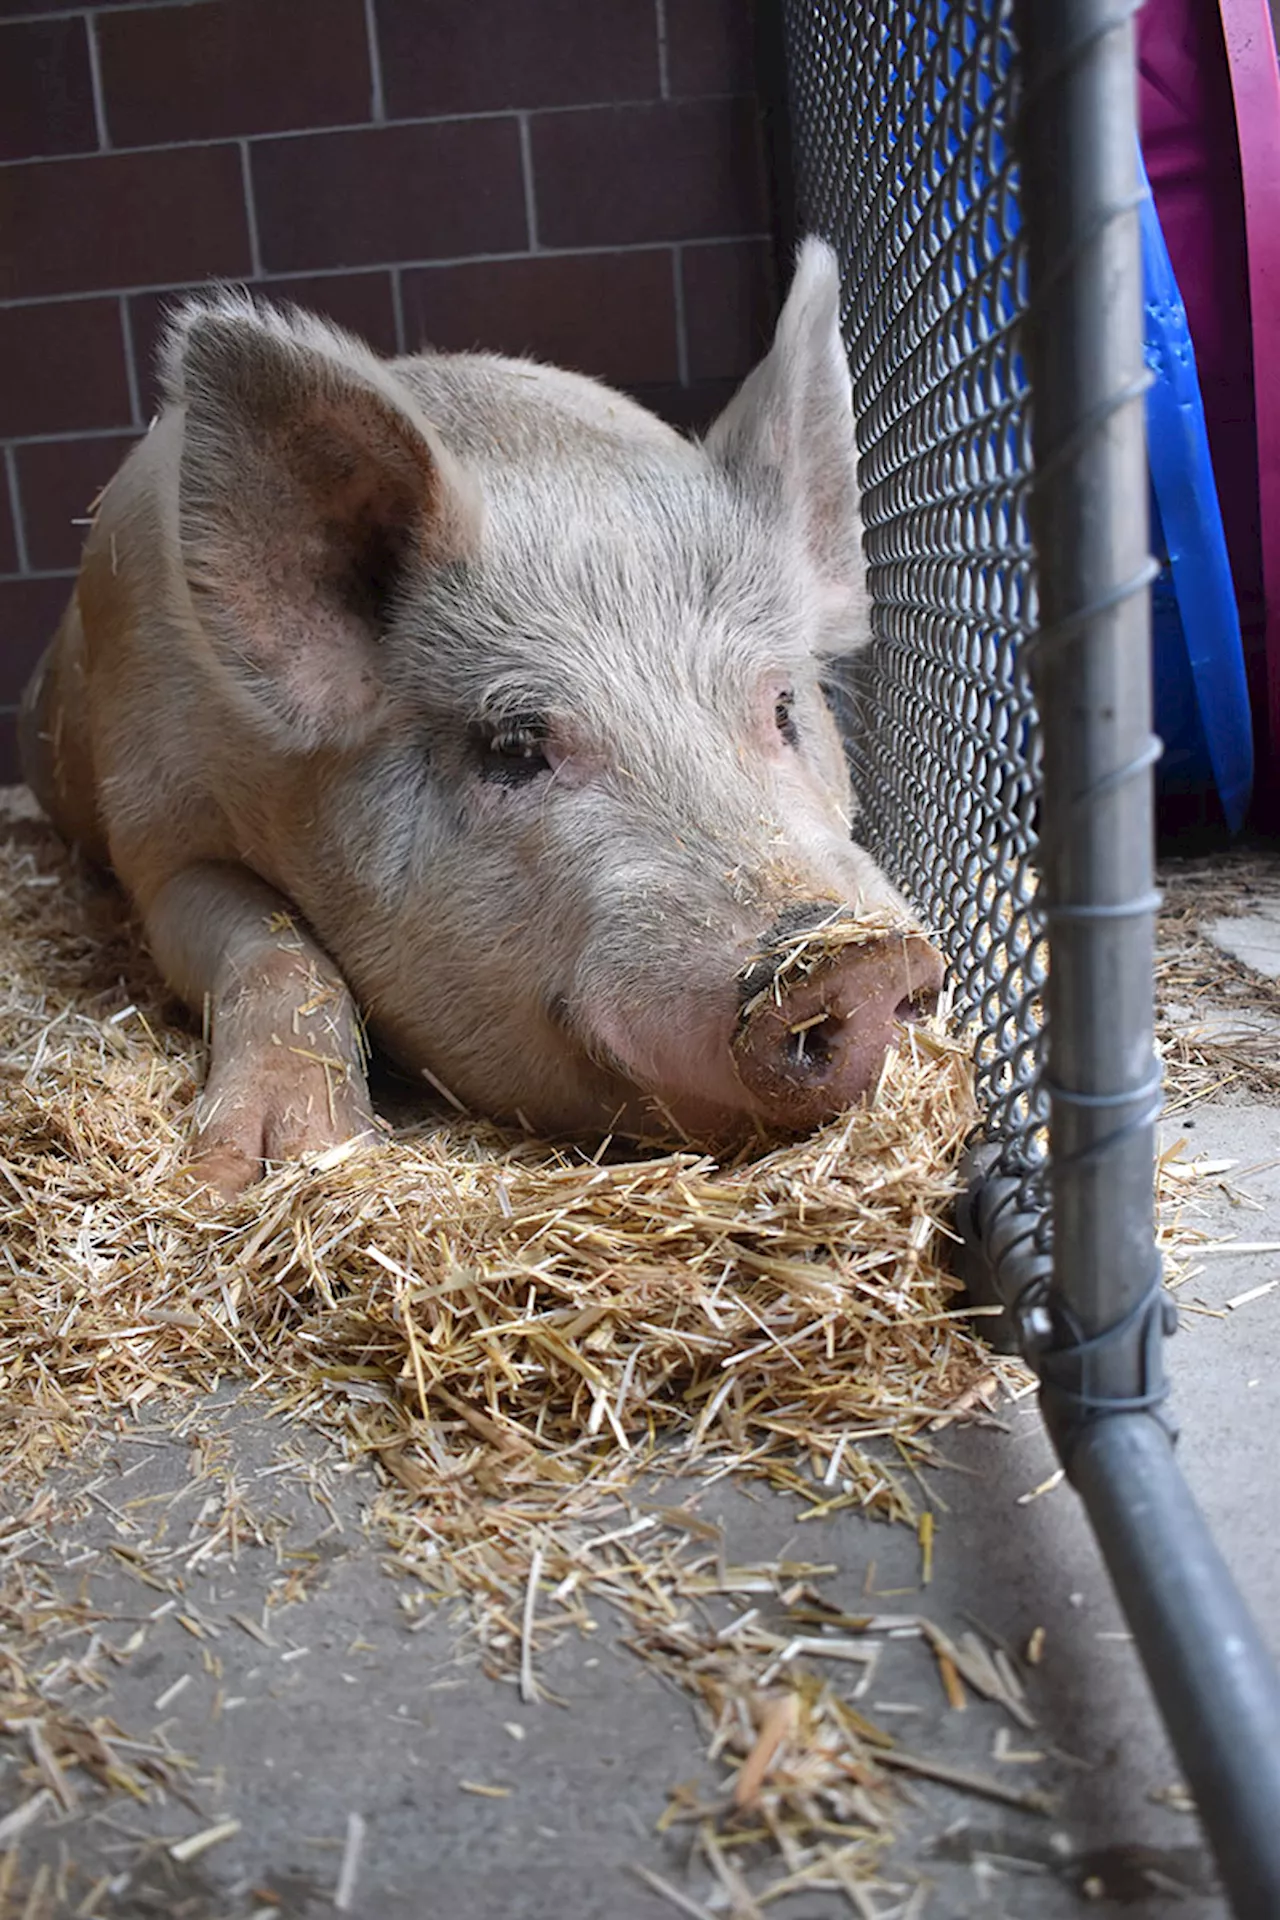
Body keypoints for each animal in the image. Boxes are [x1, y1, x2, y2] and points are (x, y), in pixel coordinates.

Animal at [17, 236, 940, 1198]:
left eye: (784, 705)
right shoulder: (155, 828)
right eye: (514, 743)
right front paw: (261, 1172)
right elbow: (270, 941)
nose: (857, 958)